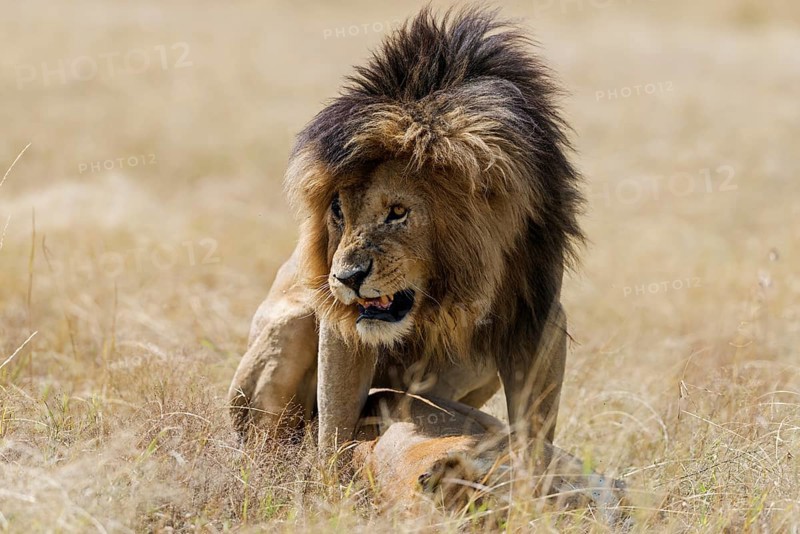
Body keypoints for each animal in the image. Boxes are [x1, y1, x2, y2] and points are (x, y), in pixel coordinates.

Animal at [229, 7, 584, 457]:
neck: (449, 289)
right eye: (338, 211)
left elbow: (535, 434)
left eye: (397, 212)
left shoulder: (538, 316)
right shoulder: (342, 323)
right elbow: (334, 425)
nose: (347, 278)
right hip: (291, 325)